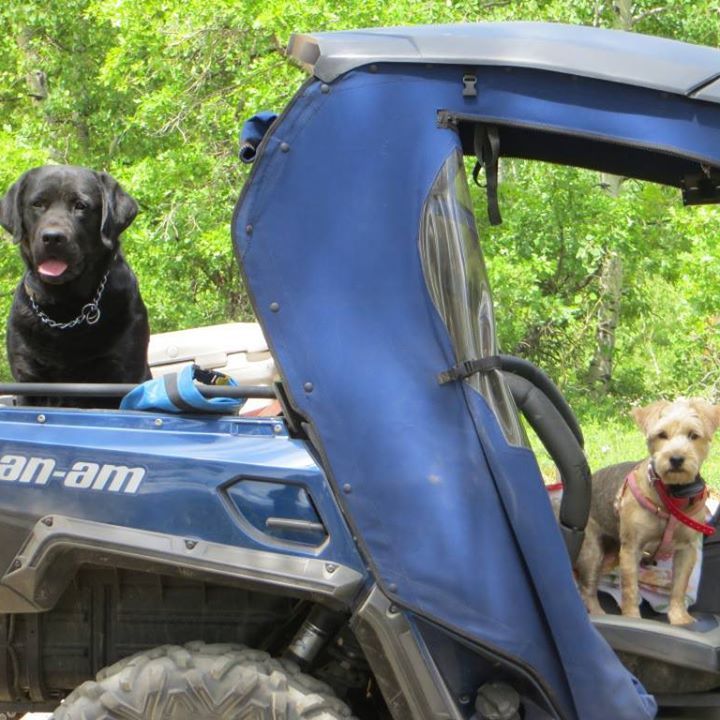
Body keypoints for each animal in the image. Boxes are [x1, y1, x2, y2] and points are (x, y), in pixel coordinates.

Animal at [0, 165, 150, 408]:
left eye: (81, 206)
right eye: (37, 204)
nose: (52, 237)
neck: (66, 309)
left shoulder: (122, 373)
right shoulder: (28, 379)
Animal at [576, 396, 720, 628]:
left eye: (693, 435)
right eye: (661, 435)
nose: (676, 458)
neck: (670, 496)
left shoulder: (687, 550)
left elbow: (679, 587)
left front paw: (679, 618)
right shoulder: (631, 549)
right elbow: (630, 589)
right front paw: (632, 618)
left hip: (609, 554)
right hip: (592, 552)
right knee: (587, 589)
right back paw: (599, 613)